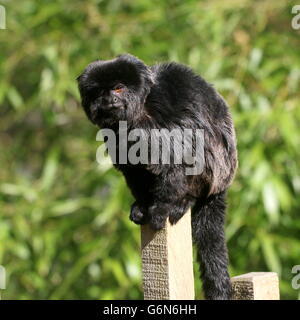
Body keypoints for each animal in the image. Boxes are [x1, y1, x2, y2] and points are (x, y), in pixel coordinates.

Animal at [77, 53, 237, 298]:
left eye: (118, 88)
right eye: (100, 92)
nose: (109, 100)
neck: (140, 110)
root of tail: (221, 186)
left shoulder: (166, 103)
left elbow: (179, 154)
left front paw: (162, 207)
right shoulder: (113, 134)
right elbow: (132, 166)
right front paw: (143, 204)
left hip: (215, 171)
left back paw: (184, 200)